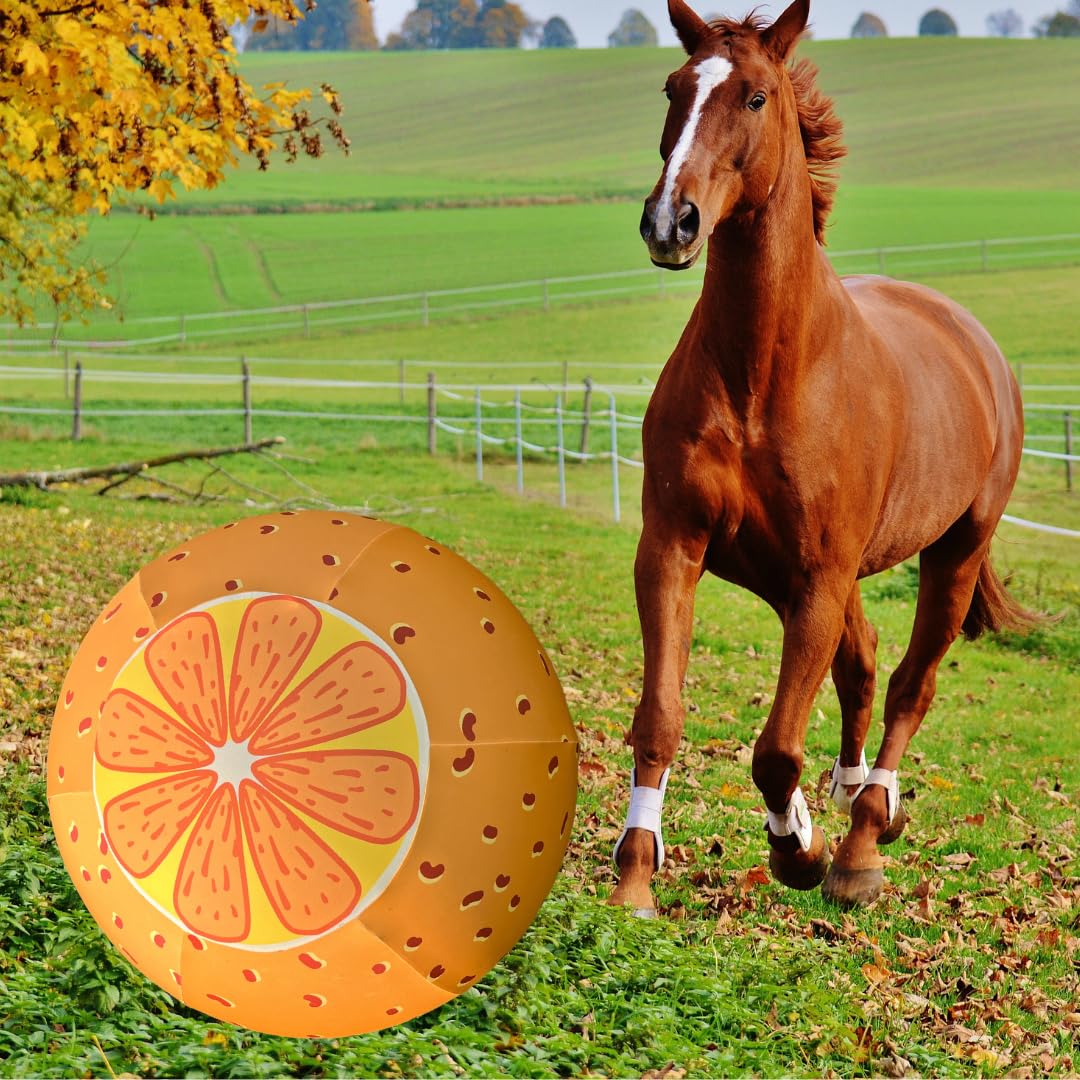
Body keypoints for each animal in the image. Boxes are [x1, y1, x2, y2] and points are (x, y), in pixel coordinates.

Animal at [609, 0, 1034, 911]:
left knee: (910, 683)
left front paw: (797, 849)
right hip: (792, 576)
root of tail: (976, 344)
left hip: (951, 553)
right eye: (674, 87)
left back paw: (865, 836)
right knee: (864, 664)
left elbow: (775, 748)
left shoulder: (819, 575)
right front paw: (633, 874)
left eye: (757, 96)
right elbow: (660, 715)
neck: (765, 374)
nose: (671, 222)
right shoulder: (675, 549)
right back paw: (848, 796)